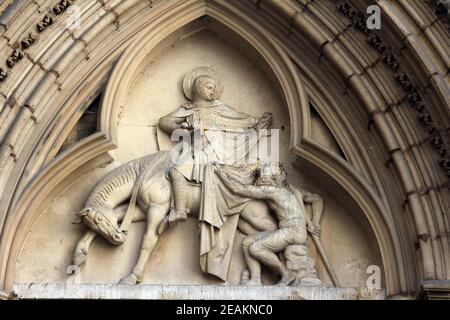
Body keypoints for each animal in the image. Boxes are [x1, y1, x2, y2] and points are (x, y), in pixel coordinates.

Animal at [69, 151, 278, 284]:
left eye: (99, 220)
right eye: (95, 224)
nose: (116, 239)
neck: (145, 173)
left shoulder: (156, 209)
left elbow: (147, 241)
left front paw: (132, 277)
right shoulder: (141, 210)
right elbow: (118, 215)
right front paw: (79, 255)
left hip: (255, 215)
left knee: (275, 227)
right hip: (244, 220)